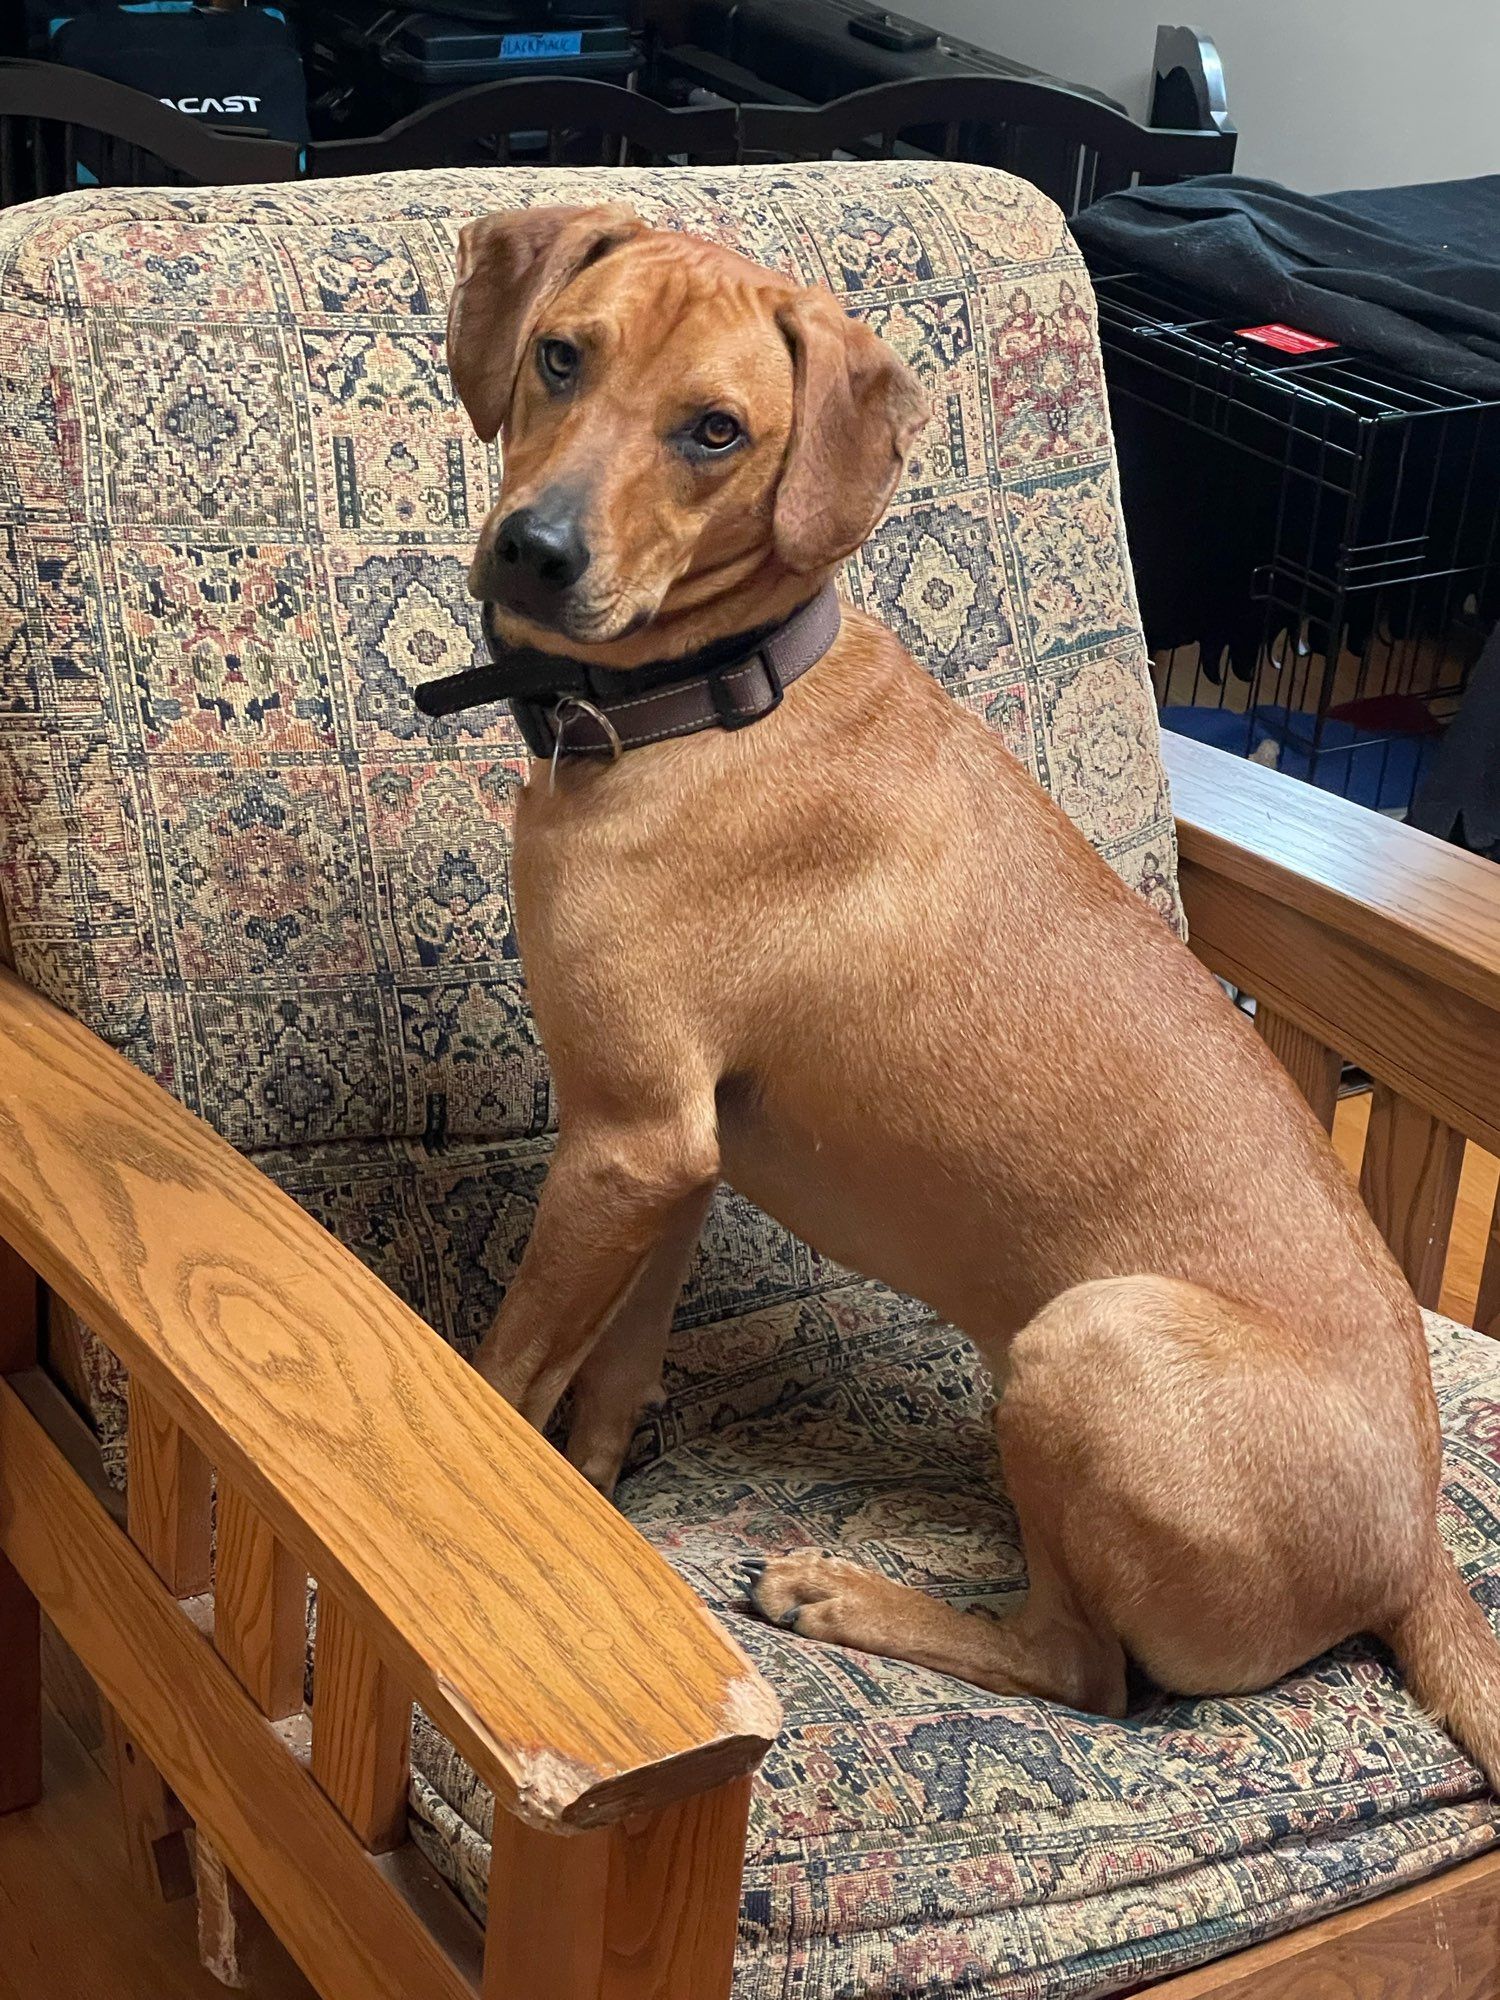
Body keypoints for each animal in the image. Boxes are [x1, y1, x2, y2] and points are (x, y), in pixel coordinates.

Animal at [444, 203, 1500, 1768]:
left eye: (715, 431)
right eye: (562, 357)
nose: (534, 551)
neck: (716, 695)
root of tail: (1423, 1555)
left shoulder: (626, 1138)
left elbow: (506, 1370)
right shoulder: (666, 1161)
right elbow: (608, 1378)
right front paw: (591, 1497)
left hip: (1084, 1347)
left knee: (1084, 1669)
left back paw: (845, 1594)